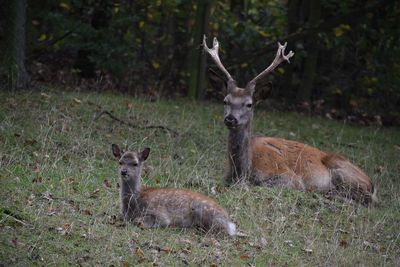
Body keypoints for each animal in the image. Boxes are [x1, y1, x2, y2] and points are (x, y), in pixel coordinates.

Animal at [205, 36, 376, 207]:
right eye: (225, 101)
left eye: (249, 104)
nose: (230, 118)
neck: (242, 172)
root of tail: (372, 184)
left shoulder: (290, 178)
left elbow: (263, 185)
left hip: (342, 170)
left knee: (366, 200)